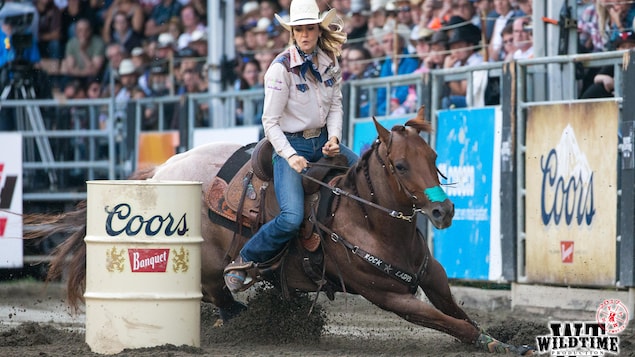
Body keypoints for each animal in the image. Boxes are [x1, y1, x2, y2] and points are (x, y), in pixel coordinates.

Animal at [42, 108, 536, 354]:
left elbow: (458, 312)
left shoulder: (430, 275)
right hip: (207, 263)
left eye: (433, 157)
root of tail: (163, 171)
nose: (443, 210)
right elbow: (451, 323)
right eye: (399, 165)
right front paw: (498, 345)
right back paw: (243, 317)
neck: (369, 221)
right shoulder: (387, 295)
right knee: (218, 291)